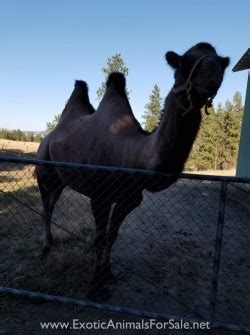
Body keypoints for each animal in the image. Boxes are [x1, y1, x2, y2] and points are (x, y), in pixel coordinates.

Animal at [36, 42, 229, 300]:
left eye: (222, 62)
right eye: (184, 62)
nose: (213, 69)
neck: (135, 156)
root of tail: (48, 136)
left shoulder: (130, 198)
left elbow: (113, 235)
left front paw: (108, 273)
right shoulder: (100, 196)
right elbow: (99, 239)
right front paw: (95, 287)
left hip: (60, 179)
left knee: (53, 201)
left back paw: (50, 241)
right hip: (43, 168)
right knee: (46, 205)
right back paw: (45, 247)